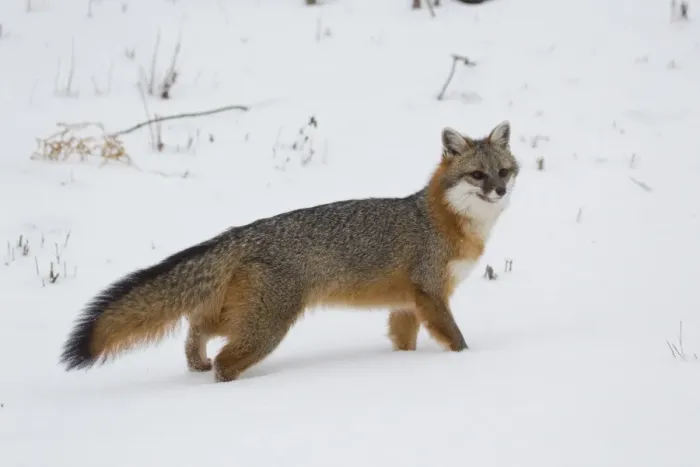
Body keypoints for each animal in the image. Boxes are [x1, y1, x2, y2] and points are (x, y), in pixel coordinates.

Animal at [59, 120, 519, 383]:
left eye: (504, 171)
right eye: (477, 175)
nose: (500, 190)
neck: (443, 220)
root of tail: (242, 233)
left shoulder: (406, 304)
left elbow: (403, 344)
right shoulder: (430, 294)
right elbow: (457, 340)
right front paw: (468, 362)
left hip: (241, 315)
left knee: (196, 327)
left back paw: (196, 363)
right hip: (268, 326)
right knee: (224, 360)